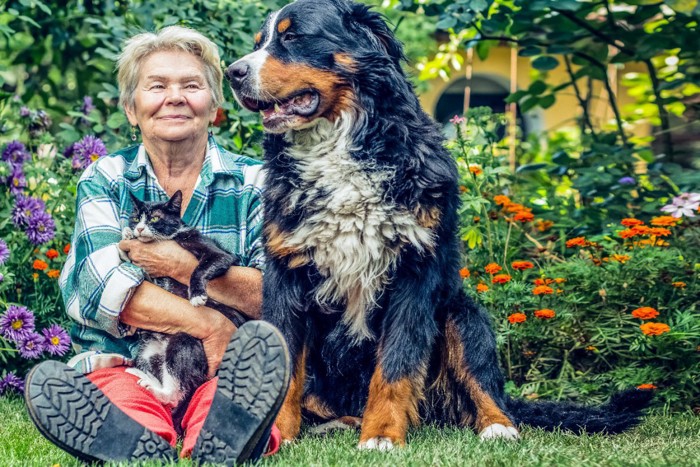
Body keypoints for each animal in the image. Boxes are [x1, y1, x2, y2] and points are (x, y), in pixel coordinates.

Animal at [122, 190, 246, 432]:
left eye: (154, 218)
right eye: (136, 217)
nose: (139, 228)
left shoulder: (216, 253)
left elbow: (201, 267)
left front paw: (197, 294)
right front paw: (128, 233)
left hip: (184, 341)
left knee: (175, 392)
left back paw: (157, 389)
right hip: (147, 353)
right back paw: (145, 377)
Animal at [227, 0, 652, 452]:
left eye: (292, 36)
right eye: (260, 42)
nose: (233, 72)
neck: (339, 152)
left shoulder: (414, 272)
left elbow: (396, 366)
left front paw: (381, 435)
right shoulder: (287, 272)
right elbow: (285, 364)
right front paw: (276, 435)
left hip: (462, 316)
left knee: (485, 387)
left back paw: (497, 426)